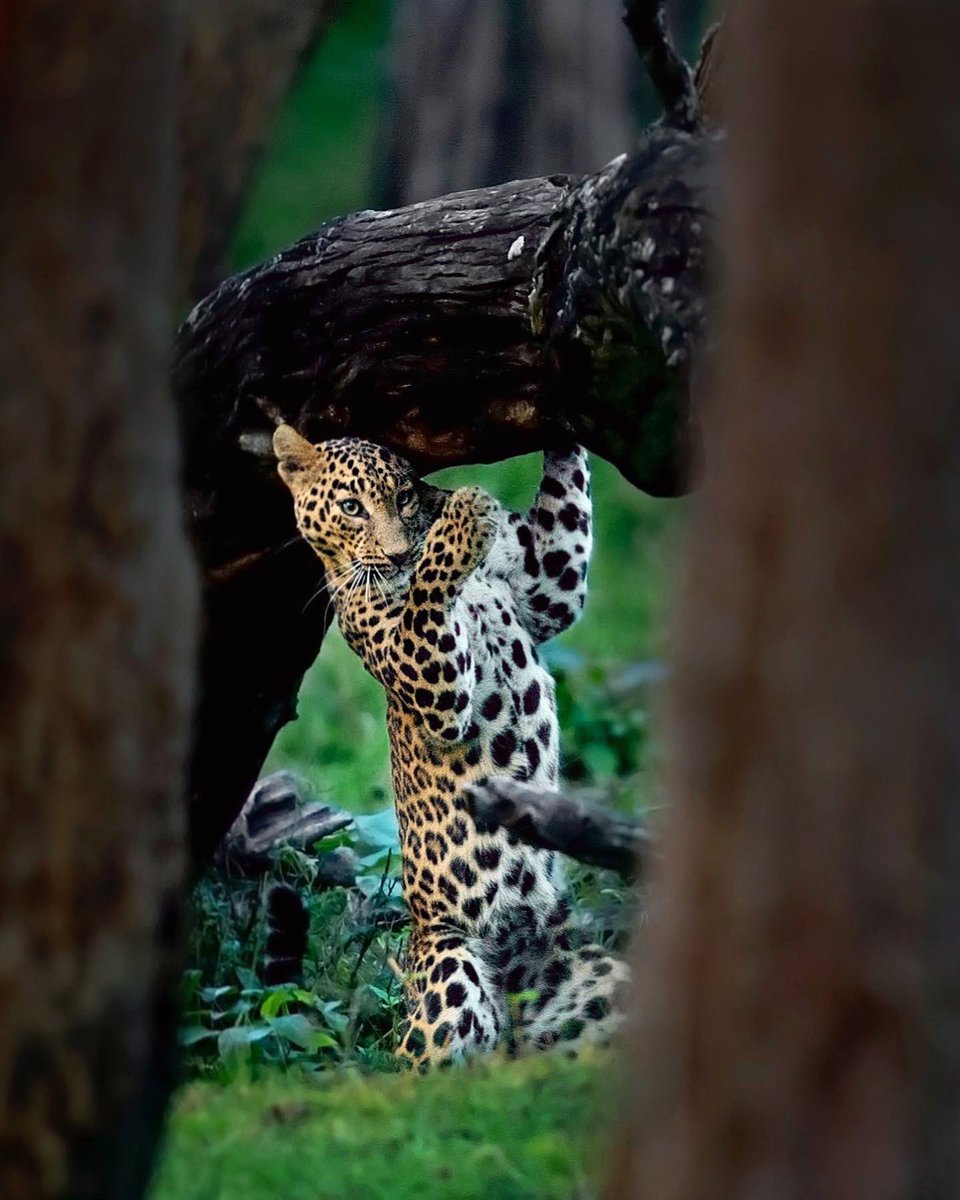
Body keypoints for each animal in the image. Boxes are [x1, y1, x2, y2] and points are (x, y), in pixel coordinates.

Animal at [272, 424, 628, 1070]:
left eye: (403, 496)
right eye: (351, 508)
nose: (394, 555)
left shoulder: (546, 583)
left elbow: (566, 510)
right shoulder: (432, 676)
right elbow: (428, 589)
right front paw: (463, 513)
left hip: (594, 980)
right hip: (450, 962)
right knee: (422, 1065)